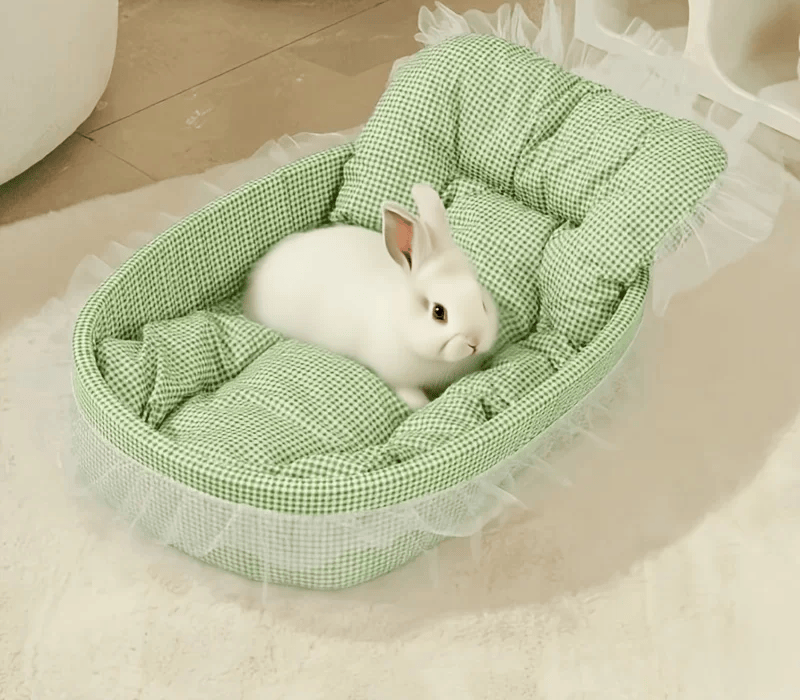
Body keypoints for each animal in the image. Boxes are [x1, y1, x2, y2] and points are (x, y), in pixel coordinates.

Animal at [243, 183, 498, 410]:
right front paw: (421, 405)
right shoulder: (397, 377)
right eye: (438, 312)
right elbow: (411, 395)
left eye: (482, 302)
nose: (474, 341)